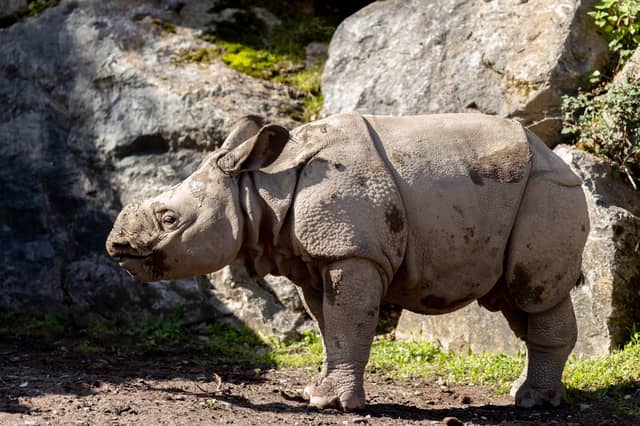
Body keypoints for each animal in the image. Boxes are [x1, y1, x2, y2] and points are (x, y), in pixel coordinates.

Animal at [106, 112, 589, 411]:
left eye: (170, 219)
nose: (116, 247)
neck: (261, 186)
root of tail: (555, 155)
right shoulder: (312, 258)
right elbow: (329, 327)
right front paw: (315, 392)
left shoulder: (351, 251)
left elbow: (347, 322)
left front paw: (330, 404)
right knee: (513, 300)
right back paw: (524, 392)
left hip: (548, 191)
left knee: (534, 294)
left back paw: (533, 402)